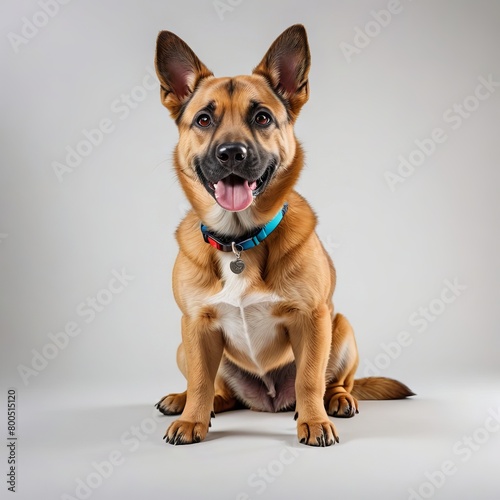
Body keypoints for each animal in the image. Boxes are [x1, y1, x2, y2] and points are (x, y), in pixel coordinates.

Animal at [153, 23, 414, 448]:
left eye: (262, 117)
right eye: (204, 120)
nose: (232, 153)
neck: (240, 239)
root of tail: (268, 401)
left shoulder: (312, 320)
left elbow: (309, 380)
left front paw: (314, 421)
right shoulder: (195, 325)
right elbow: (200, 381)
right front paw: (192, 419)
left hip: (341, 328)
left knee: (335, 382)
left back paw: (336, 401)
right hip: (184, 347)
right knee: (215, 390)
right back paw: (189, 402)